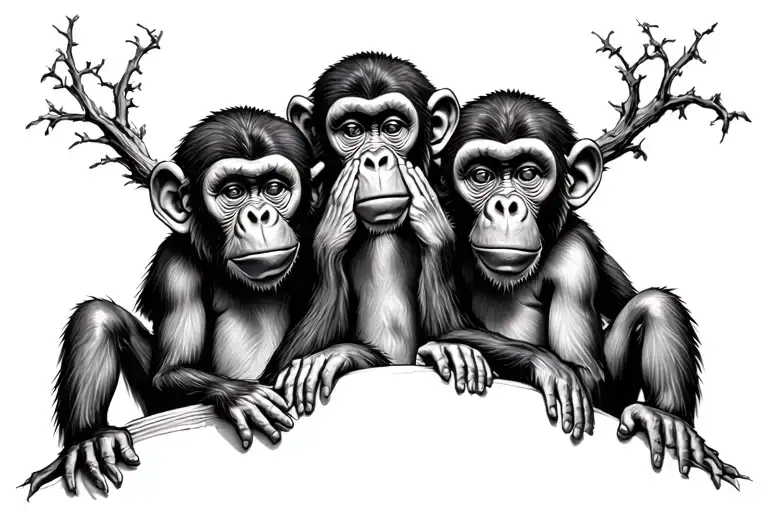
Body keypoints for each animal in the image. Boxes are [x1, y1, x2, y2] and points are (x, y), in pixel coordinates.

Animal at [22, 107, 325, 499]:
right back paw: (92, 439)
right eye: (233, 192)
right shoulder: (174, 268)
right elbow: (171, 370)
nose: (259, 215)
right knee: (96, 316)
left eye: (275, 189)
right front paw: (240, 394)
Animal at [432, 89, 746, 488]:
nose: (505, 206)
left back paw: (665, 419)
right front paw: (539, 364)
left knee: (657, 304)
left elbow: (584, 373)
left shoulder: (575, 259)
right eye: (481, 175)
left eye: (528, 174)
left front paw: (556, 368)